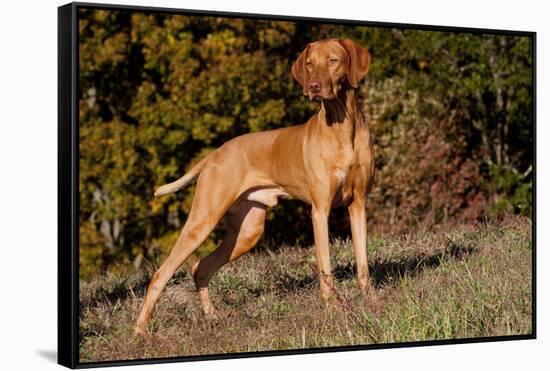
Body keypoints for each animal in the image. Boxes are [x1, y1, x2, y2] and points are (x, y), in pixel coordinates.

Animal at [135, 38, 376, 338]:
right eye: (310, 64)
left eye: (333, 61)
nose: (314, 87)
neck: (343, 128)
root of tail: (215, 155)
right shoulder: (320, 211)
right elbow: (325, 270)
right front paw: (332, 312)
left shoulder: (358, 205)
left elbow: (363, 263)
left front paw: (372, 303)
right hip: (203, 221)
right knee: (161, 273)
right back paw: (140, 329)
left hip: (248, 231)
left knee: (200, 268)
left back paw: (213, 318)